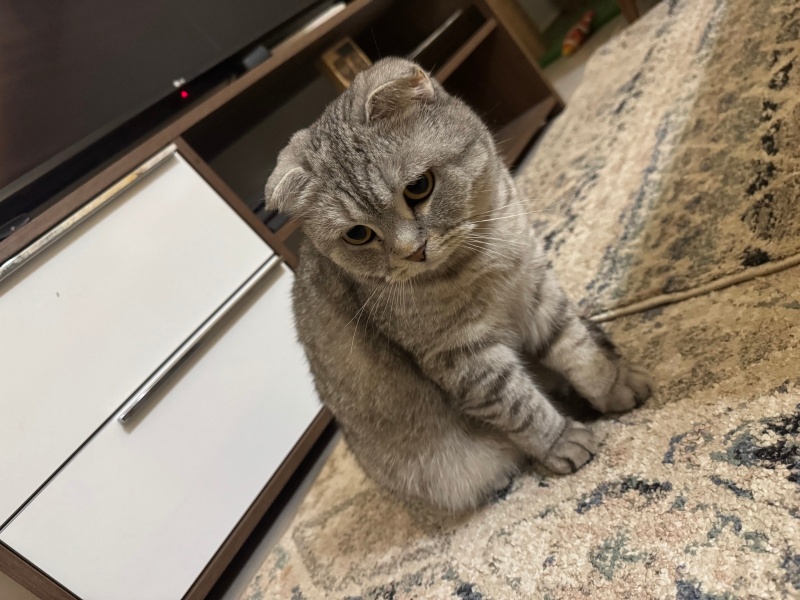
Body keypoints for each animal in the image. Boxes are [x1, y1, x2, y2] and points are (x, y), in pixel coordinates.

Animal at [266, 58, 652, 510]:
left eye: (419, 187)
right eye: (358, 234)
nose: (412, 251)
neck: (481, 256)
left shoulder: (536, 288)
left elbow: (579, 353)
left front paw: (613, 387)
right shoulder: (462, 355)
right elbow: (521, 406)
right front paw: (561, 441)